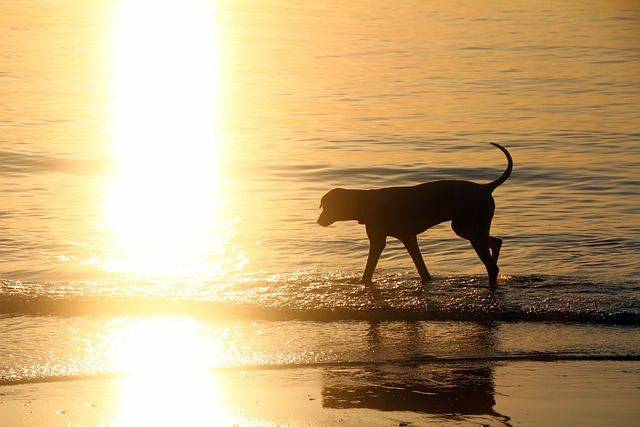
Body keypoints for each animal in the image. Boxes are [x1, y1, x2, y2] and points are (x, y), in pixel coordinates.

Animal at [318, 143, 512, 288]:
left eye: (325, 206)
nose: (318, 221)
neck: (364, 200)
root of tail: (485, 187)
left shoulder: (378, 240)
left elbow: (369, 268)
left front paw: (363, 282)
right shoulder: (409, 238)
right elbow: (421, 268)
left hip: (473, 229)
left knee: (492, 267)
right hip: (463, 228)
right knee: (496, 243)